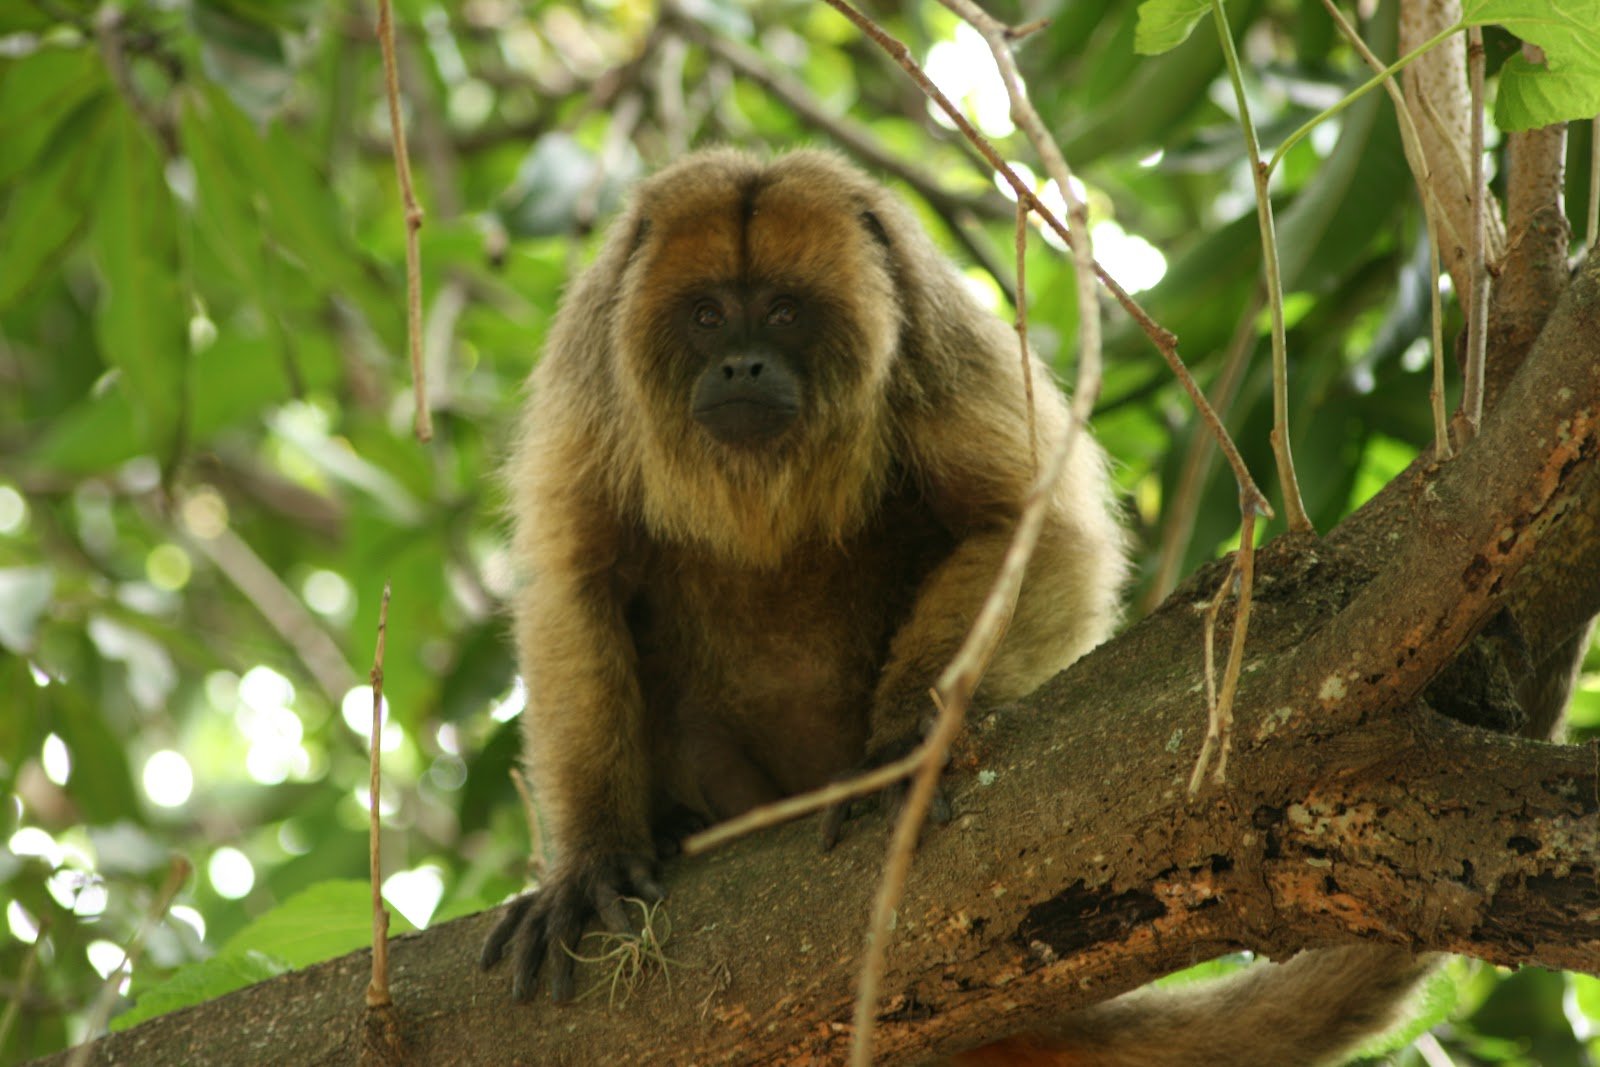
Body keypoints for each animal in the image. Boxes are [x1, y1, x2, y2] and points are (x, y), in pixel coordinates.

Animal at [480, 147, 1429, 1065]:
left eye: (785, 311)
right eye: (707, 315)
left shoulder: (935, 334)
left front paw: (908, 738)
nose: (742, 363)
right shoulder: (589, 365)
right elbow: (576, 580)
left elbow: (1029, 527)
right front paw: (593, 858)